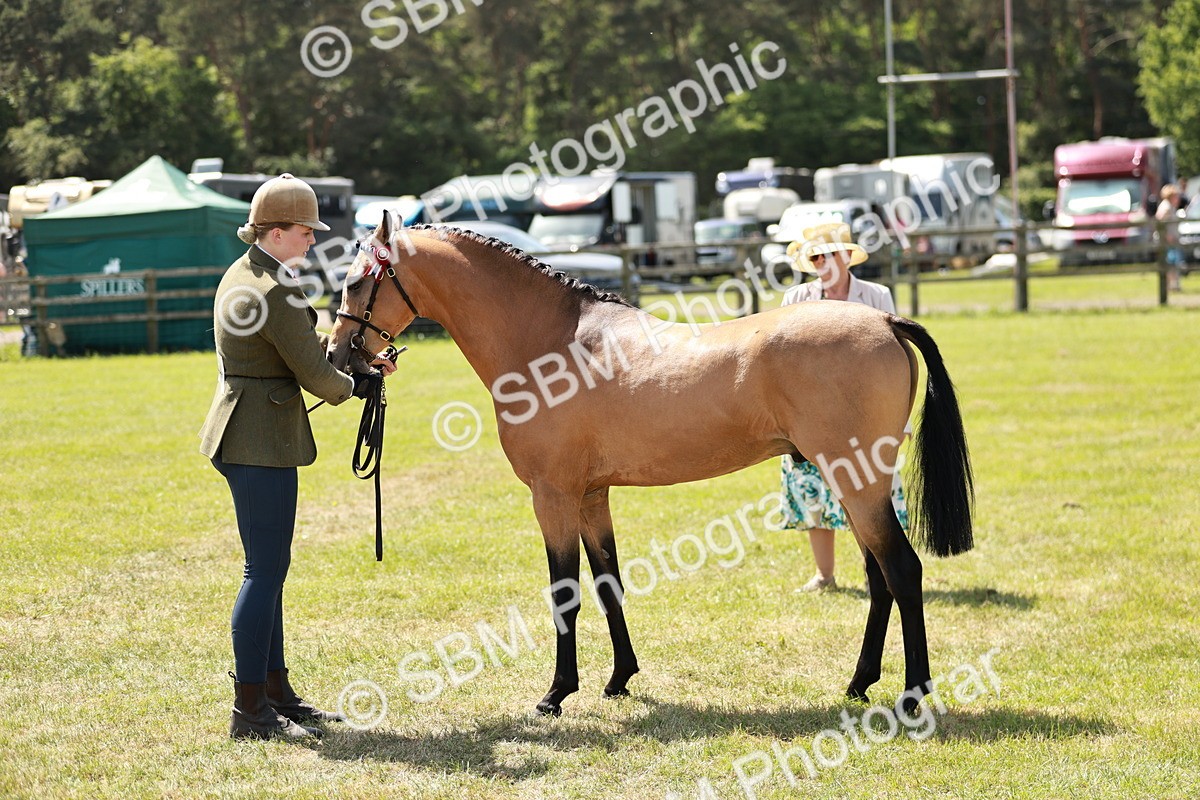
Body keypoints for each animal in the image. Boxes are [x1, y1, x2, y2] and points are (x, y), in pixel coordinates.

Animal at [327, 214, 974, 717]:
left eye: (358, 282)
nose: (338, 354)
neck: (550, 343)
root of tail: (885, 322)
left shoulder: (552, 495)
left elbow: (565, 589)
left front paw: (555, 694)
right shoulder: (592, 496)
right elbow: (608, 582)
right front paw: (619, 679)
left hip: (857, 483)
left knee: (902, 571)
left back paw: (913, 695)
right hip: (854, 483)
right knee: (879, 578)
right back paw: (859, 684)